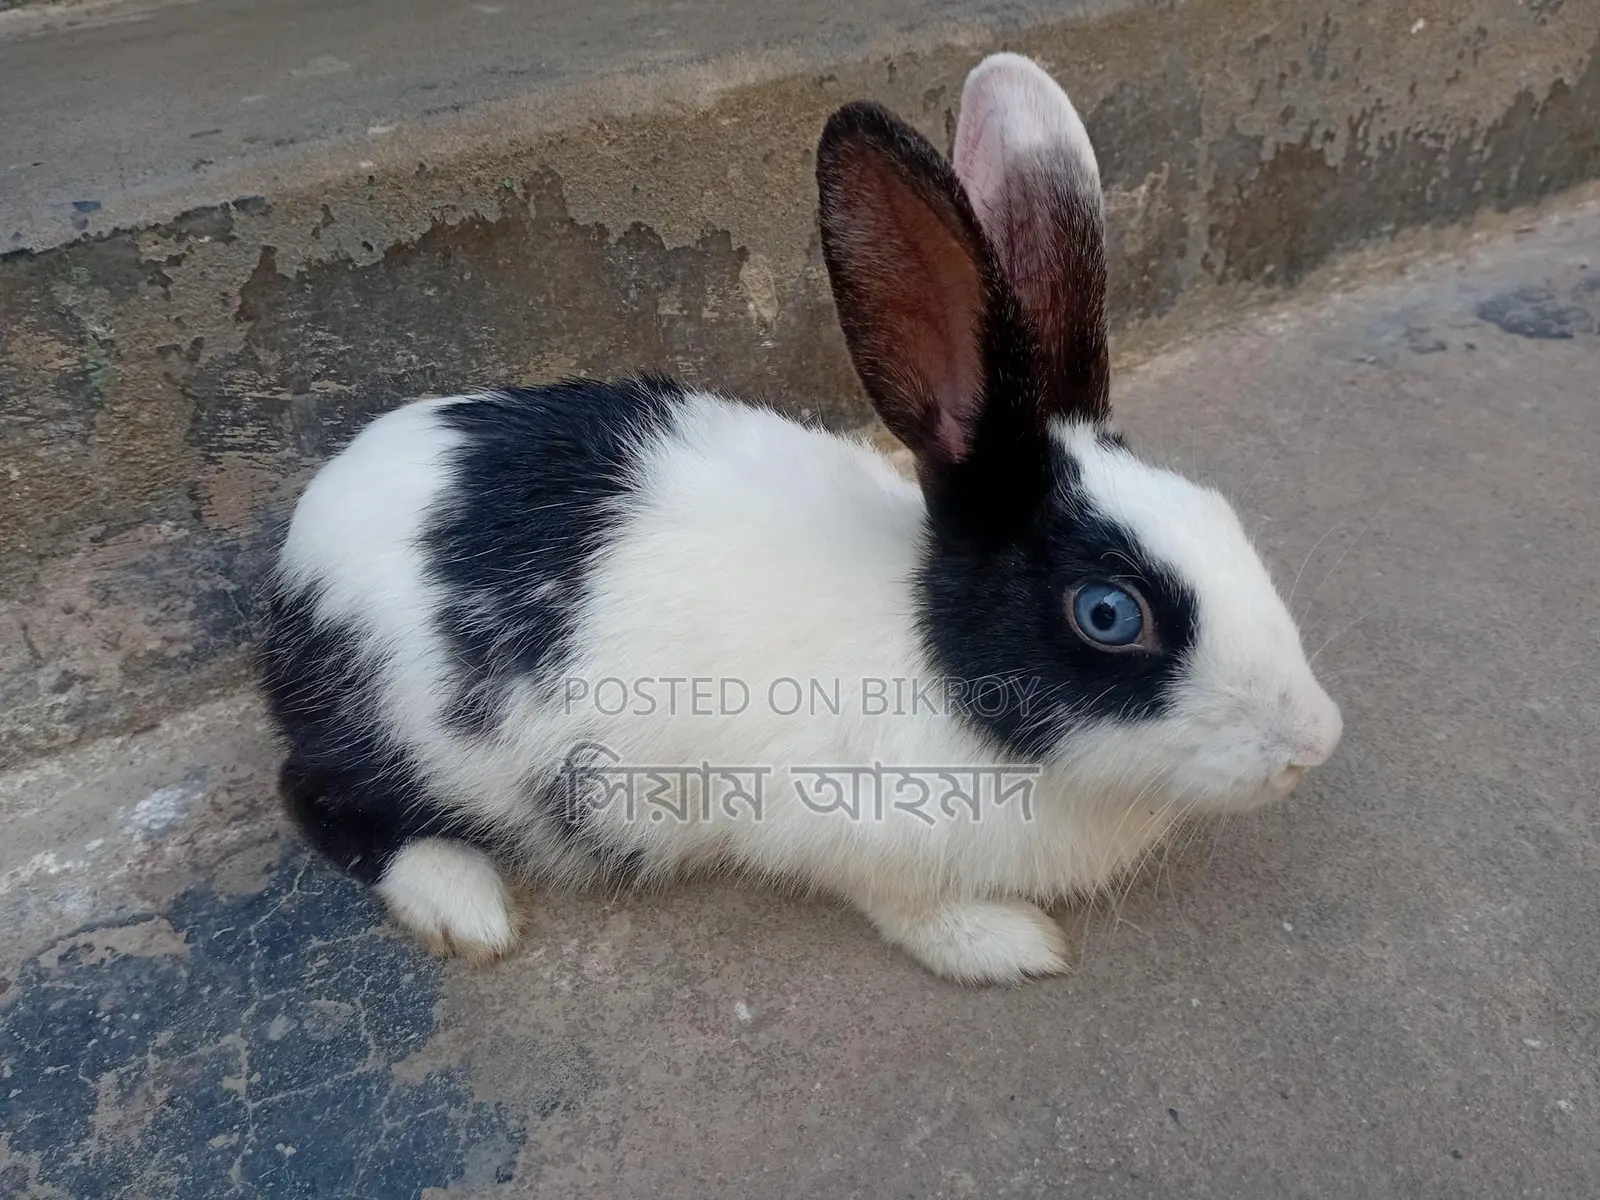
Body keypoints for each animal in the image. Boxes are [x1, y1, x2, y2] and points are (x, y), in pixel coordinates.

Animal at [258, 52, 1342, 985]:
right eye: (1108, 614)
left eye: (1222, 514)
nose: (1314, 743)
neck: (934, 658)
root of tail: (301, 546)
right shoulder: (860, 839)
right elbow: (916, 912)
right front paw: (1011, 945)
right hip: (401, 737)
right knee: (316, 799)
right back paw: (465, 903)